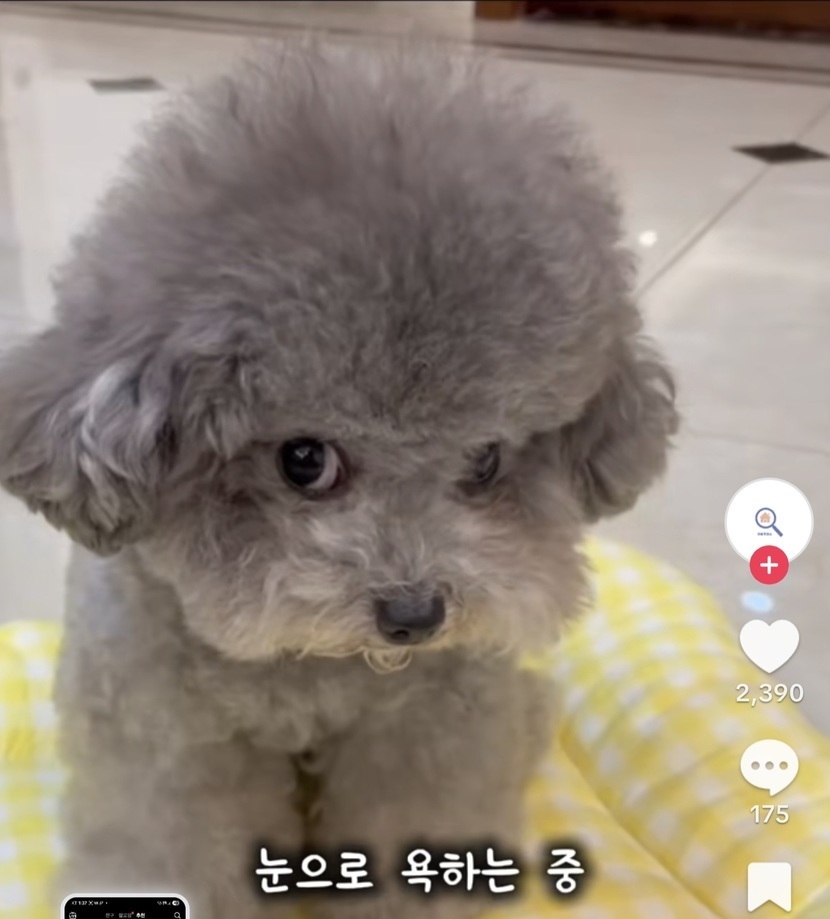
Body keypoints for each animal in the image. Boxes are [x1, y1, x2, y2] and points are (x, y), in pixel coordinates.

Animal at [0, 43, 677, 919]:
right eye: (304, 460)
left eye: (487, 458)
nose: (416, 617)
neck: (311, 665)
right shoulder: (165, 740)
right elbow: (170, 841)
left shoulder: (428, 729)